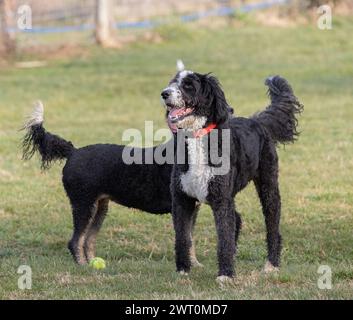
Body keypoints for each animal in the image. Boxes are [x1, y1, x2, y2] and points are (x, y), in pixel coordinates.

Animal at [161, 71, 302, 282]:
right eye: (172, 82)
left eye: (188, 85)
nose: (164, 94)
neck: (197, 137)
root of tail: (257, 120)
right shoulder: (182, 199)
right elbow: (183, 237)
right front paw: (183, 269)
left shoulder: (221, 200)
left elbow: (224, 238)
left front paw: (225, 275)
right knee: (237, 218)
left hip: (268, 186)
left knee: (272, 226)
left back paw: (272, 265)